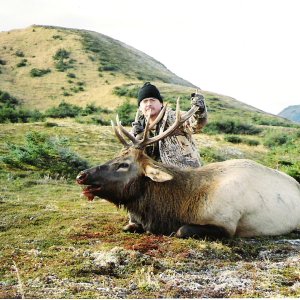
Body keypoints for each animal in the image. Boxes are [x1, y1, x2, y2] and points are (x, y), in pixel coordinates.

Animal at [77, 99, 300, 238]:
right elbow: (131, 226)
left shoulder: (227, 224)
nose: (81, 175)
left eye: (124, 164)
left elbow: (181, 230)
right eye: (115, 156)